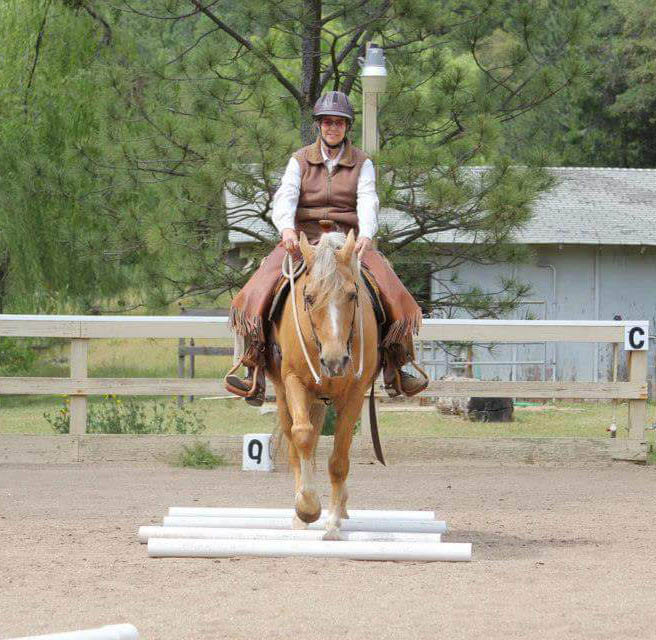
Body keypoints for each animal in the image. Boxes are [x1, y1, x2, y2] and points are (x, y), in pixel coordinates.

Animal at [268, 230, 380, 540]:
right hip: (285, 396)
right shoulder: (294, 382)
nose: (334, 360)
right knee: (295, 446)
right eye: (308, 297)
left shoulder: (355, 394)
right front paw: (307, 507)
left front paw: (332, 524)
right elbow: (303, 436)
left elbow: (339, 460)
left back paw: (339, 508)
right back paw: (300, 514)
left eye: (352, 294)